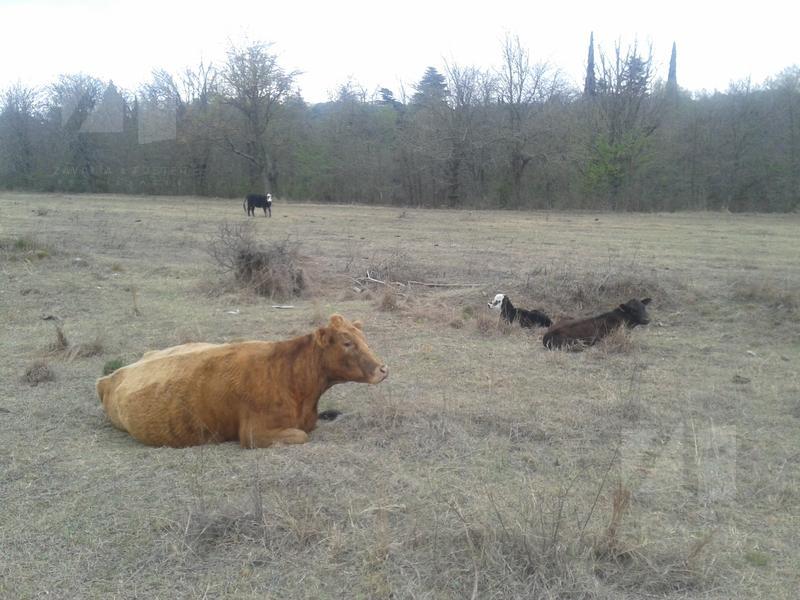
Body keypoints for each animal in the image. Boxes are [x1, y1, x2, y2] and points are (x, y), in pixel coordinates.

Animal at [95, 316, 390, 448]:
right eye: (347, 343)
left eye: (364, 338)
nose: (383, 368)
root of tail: (109, 377)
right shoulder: (253, 433)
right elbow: (301, 435)